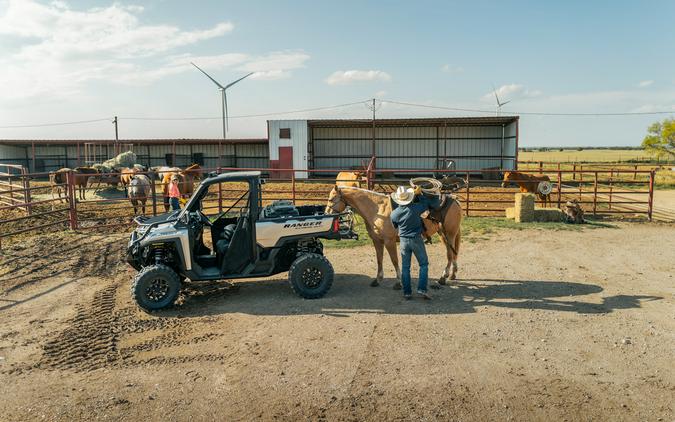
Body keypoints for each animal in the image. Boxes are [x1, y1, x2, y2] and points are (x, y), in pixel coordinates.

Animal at [324, 187, 462, 288]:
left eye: (331, 199)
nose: (325, 214)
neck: (378, 210)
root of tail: (454, 200)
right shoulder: (377, 241)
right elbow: (379, 259)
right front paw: (378, 279)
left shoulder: (389, 241)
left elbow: (394, 260)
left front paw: (399, 282)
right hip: (443, 235)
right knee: (452, 253)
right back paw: (452, 274)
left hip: (449, 234)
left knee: (450, 254)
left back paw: (443, 277)